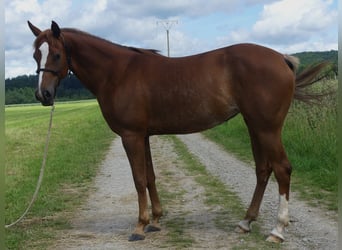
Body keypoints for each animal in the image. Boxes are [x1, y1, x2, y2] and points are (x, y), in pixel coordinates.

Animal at [28, 21, 326, 242]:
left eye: (56, 54)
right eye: (35, 54)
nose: (43, 95)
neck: (118, 72)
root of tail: (281, 58)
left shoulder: (131, 136)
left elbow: (138, 179)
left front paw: (140, 226)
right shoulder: (143, 135)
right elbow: (150, 177)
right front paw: (156, 221)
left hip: (267, 128)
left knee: (283, 169)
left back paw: (277, 230)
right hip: (255, 126)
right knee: (263, 170)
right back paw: (245, 222)